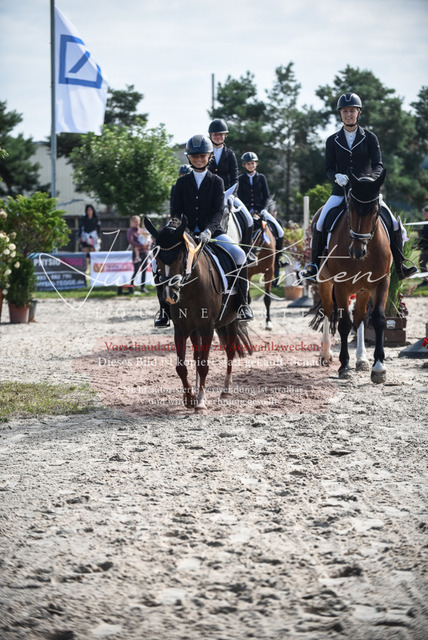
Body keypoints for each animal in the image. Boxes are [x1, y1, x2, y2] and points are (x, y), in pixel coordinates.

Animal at [144, 216, 252, 411]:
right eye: (158, 257)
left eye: (181, 256)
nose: (170, 296)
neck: (189, 288)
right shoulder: (180, 329)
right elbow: (181, 367)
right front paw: (189, 398)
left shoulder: (207, 328)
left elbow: (203, 365)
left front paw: (200, 401)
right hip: (195, 329)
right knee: (196, 356)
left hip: (230, 321)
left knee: (230, 352)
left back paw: (226, 390)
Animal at [309, 168, 392, 383]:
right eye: (351, 208)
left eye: (374, 210)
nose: (356, 252)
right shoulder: (341, 285)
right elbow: (344, 323)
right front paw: (344, 366)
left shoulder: (381, 283)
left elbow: (378, 319)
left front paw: (378, 368)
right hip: (325, 283)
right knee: (328, 311)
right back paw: (326, 355)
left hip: (363, 289)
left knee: (360, 316)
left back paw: (361, 359)